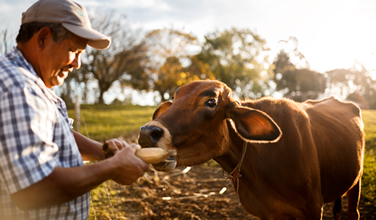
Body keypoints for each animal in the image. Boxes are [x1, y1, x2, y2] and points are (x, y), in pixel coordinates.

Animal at [138, 80, 364, 219]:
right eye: (174, 99)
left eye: (211, 102)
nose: (147, 133)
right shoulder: (267, 213)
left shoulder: (313, 209)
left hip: (357, 180)